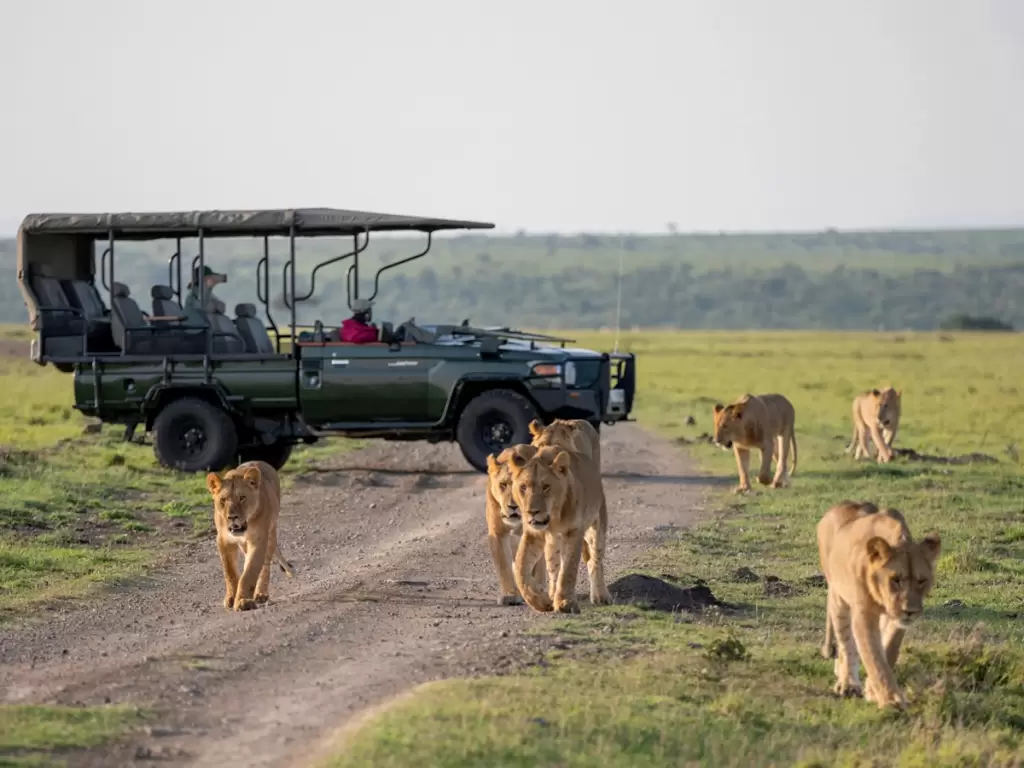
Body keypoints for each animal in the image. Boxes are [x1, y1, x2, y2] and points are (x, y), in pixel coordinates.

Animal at [203, 460, 292, 610]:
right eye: (223, 500)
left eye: (242, 498)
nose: (232, 517)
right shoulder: (224, 540)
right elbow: (230, 573)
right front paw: (231, 598)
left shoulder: (258, 540)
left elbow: (250, 572)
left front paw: (243, 600)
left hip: (271, 534)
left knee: (265, 565)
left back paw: (261, 594)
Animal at [507, 444, 610, 614]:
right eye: (523, 487)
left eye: (545, 487)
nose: (532, 512)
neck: (554, 518)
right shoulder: (533, 533)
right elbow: (521, 567)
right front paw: (539, 601)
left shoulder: (574, 531)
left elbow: (568, 569)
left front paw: (565, 602)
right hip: (552, 543)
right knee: (554, 568)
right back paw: (552, 593)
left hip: (597, 527)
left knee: (595, 560)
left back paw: (601, 596)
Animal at [815, 499, 942, 708]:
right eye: (895, 579)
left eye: (922, 581)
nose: (910, 611)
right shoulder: (864, 614)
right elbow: (873, 657)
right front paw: (892, 700)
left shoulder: (896, 619)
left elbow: (889, 651)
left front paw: (874, 691)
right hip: (838, 599)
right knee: (845, 645)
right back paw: (848, 683)